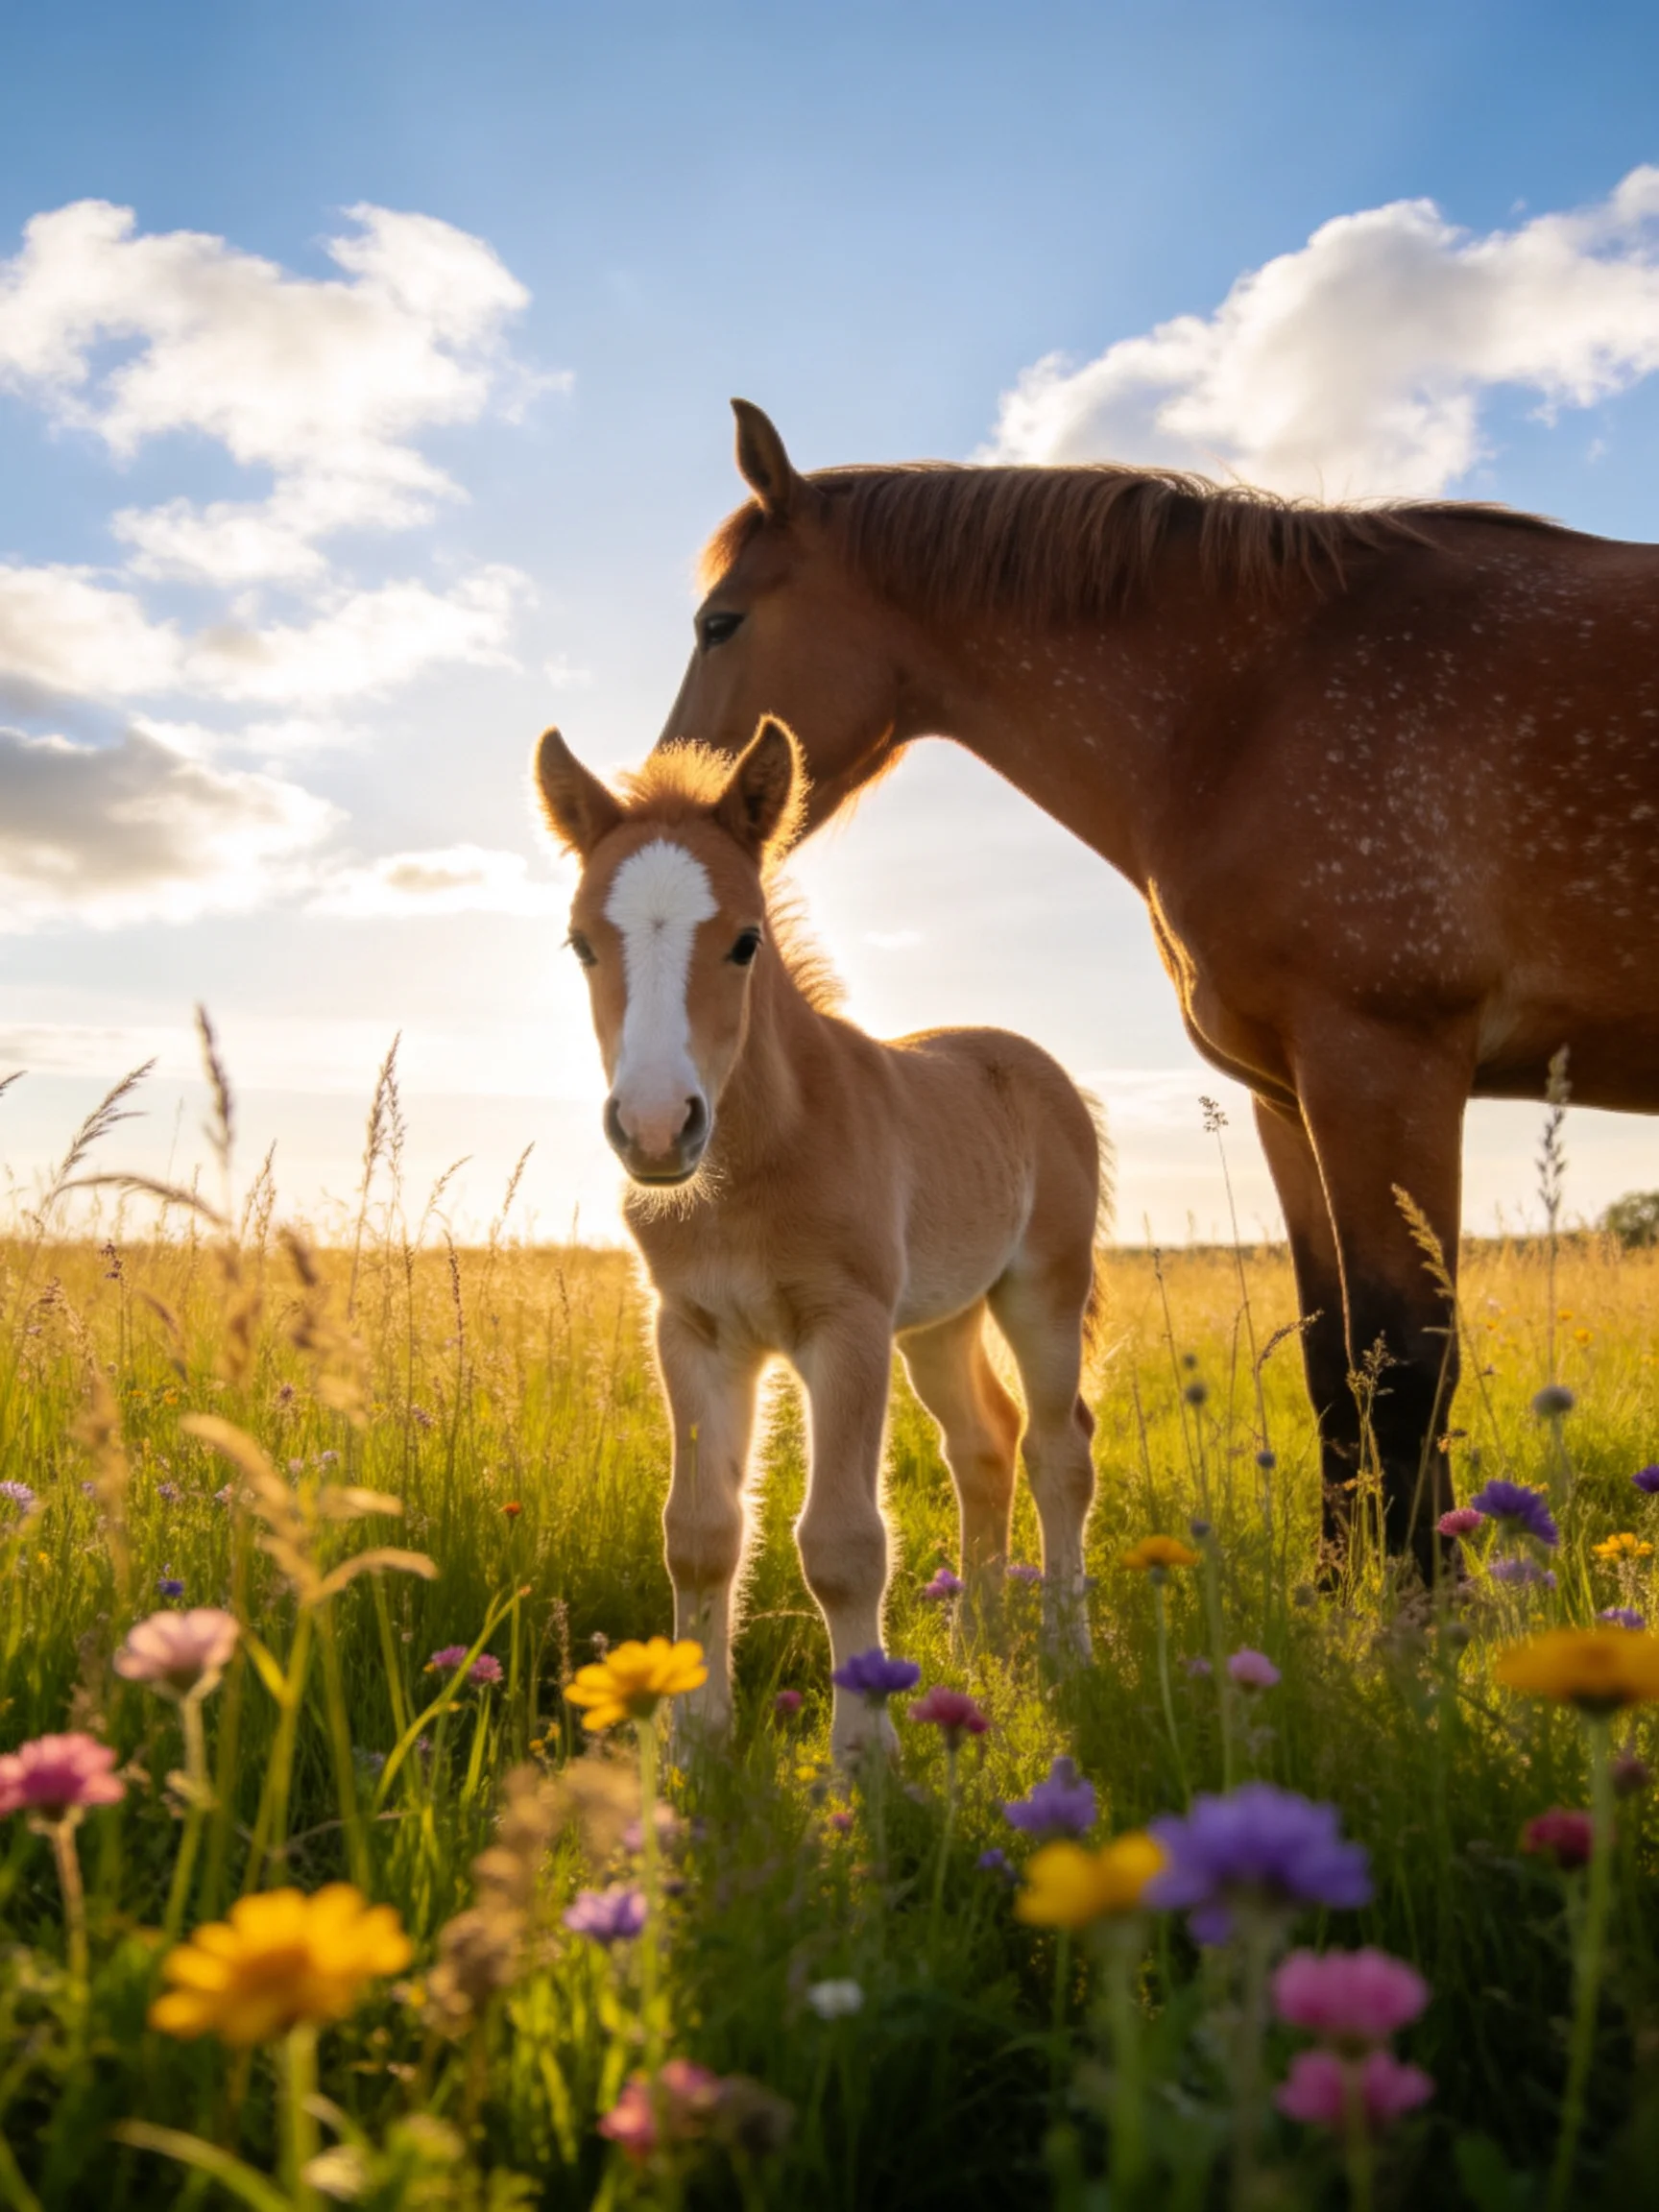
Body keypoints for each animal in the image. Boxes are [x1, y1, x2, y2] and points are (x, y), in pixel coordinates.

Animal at [534, 716, 1107, 1756]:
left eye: (745, 941)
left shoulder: (846, 1325)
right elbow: (700, 1534)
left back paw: (1064, 1648)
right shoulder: (694, 1330)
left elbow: (844, 1543)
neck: (754, 1163)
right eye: (582, 943)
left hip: (1043, 1289)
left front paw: (865, 1759)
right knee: (986, 1443)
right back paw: (979, 1641)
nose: (654, 1128)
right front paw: (695, 1743)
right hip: (940, 1320)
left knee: (1060, 1449)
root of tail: (1030, 1060)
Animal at [651, 401, 1659, 1581]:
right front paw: (1341, 1593)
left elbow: (1406, 1361)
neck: (1249, 707)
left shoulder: (1385, 1066)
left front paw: (1425, 1603)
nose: (667, 808)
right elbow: (1336, 1363)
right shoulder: (1292, 1098)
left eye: (720, 622)